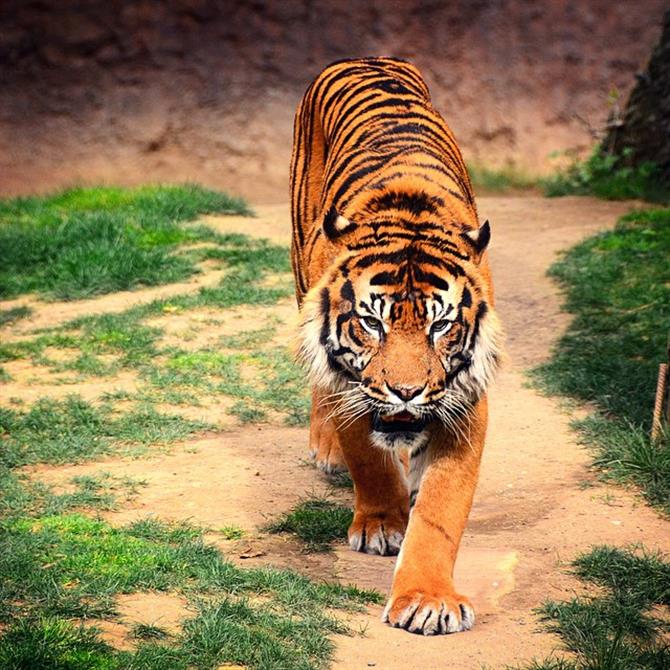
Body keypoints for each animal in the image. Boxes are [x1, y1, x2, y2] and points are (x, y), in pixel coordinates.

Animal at [288, 56, 504, 636]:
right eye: (371, 322)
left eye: (440, 325)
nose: (406, 392)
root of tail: (364, 57)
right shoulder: (353, 388)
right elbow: (366, 454)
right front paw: (382, 523)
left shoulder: (464, 401)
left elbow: (441, 510)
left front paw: (428, 599)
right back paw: (326, 450)